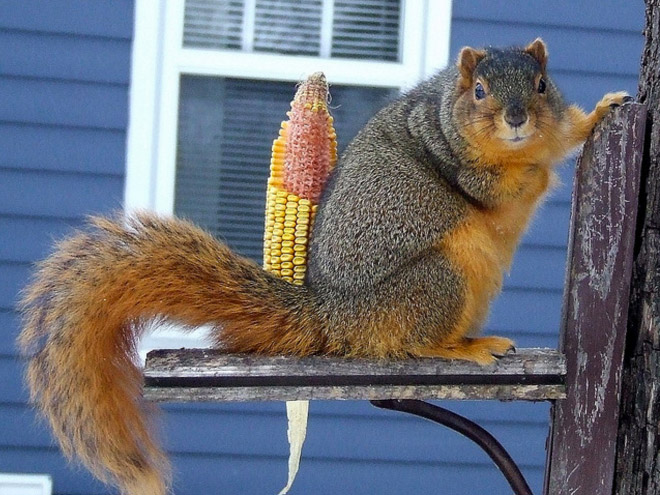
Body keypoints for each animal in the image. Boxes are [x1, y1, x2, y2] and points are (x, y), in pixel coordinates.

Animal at [19, 39, 628, 495]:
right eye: (479, 90)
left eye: (542, 84)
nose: (518, 117)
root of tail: (334, 317)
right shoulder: (463, 166)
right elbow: (499, 185)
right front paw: (538, 170)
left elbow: (568, 130)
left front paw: (600, 112)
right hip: (436, 282)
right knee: (418, 342)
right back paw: (466, 347)